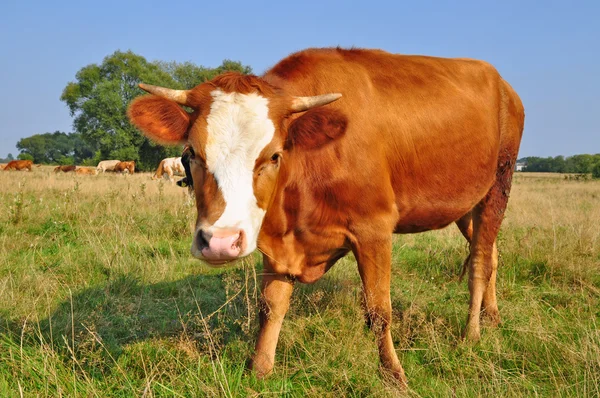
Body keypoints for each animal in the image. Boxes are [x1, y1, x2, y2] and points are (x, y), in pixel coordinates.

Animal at [127, 47, 524, 386]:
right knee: (490, 252)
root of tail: (503, 84)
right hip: (468, 203)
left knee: (479, 261)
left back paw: (472, 333)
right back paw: (492, 317)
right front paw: (260, 367)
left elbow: (379, 309)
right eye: (191, 153)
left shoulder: (374, 228)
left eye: (274, 155)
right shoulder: (276, 239)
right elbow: (271, 305)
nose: (220, 242)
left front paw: (394, 375)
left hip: (498, 184)